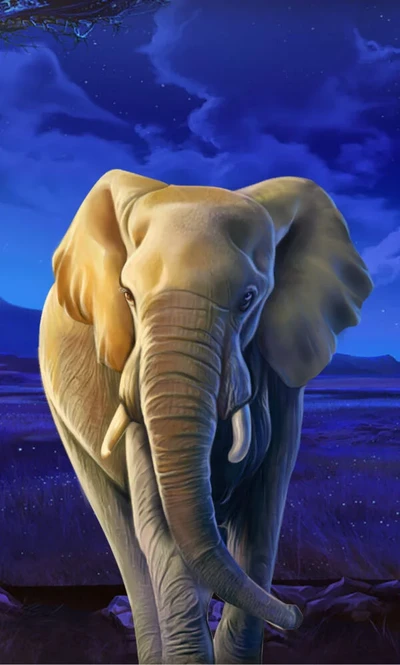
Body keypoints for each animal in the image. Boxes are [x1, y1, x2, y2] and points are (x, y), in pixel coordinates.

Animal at [38, 170, 373, 664]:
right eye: (127, 295)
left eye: (249, 299)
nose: (295, 613)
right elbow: (158, 527)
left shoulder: (283, 379)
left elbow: (262, 516)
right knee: (125, 538)